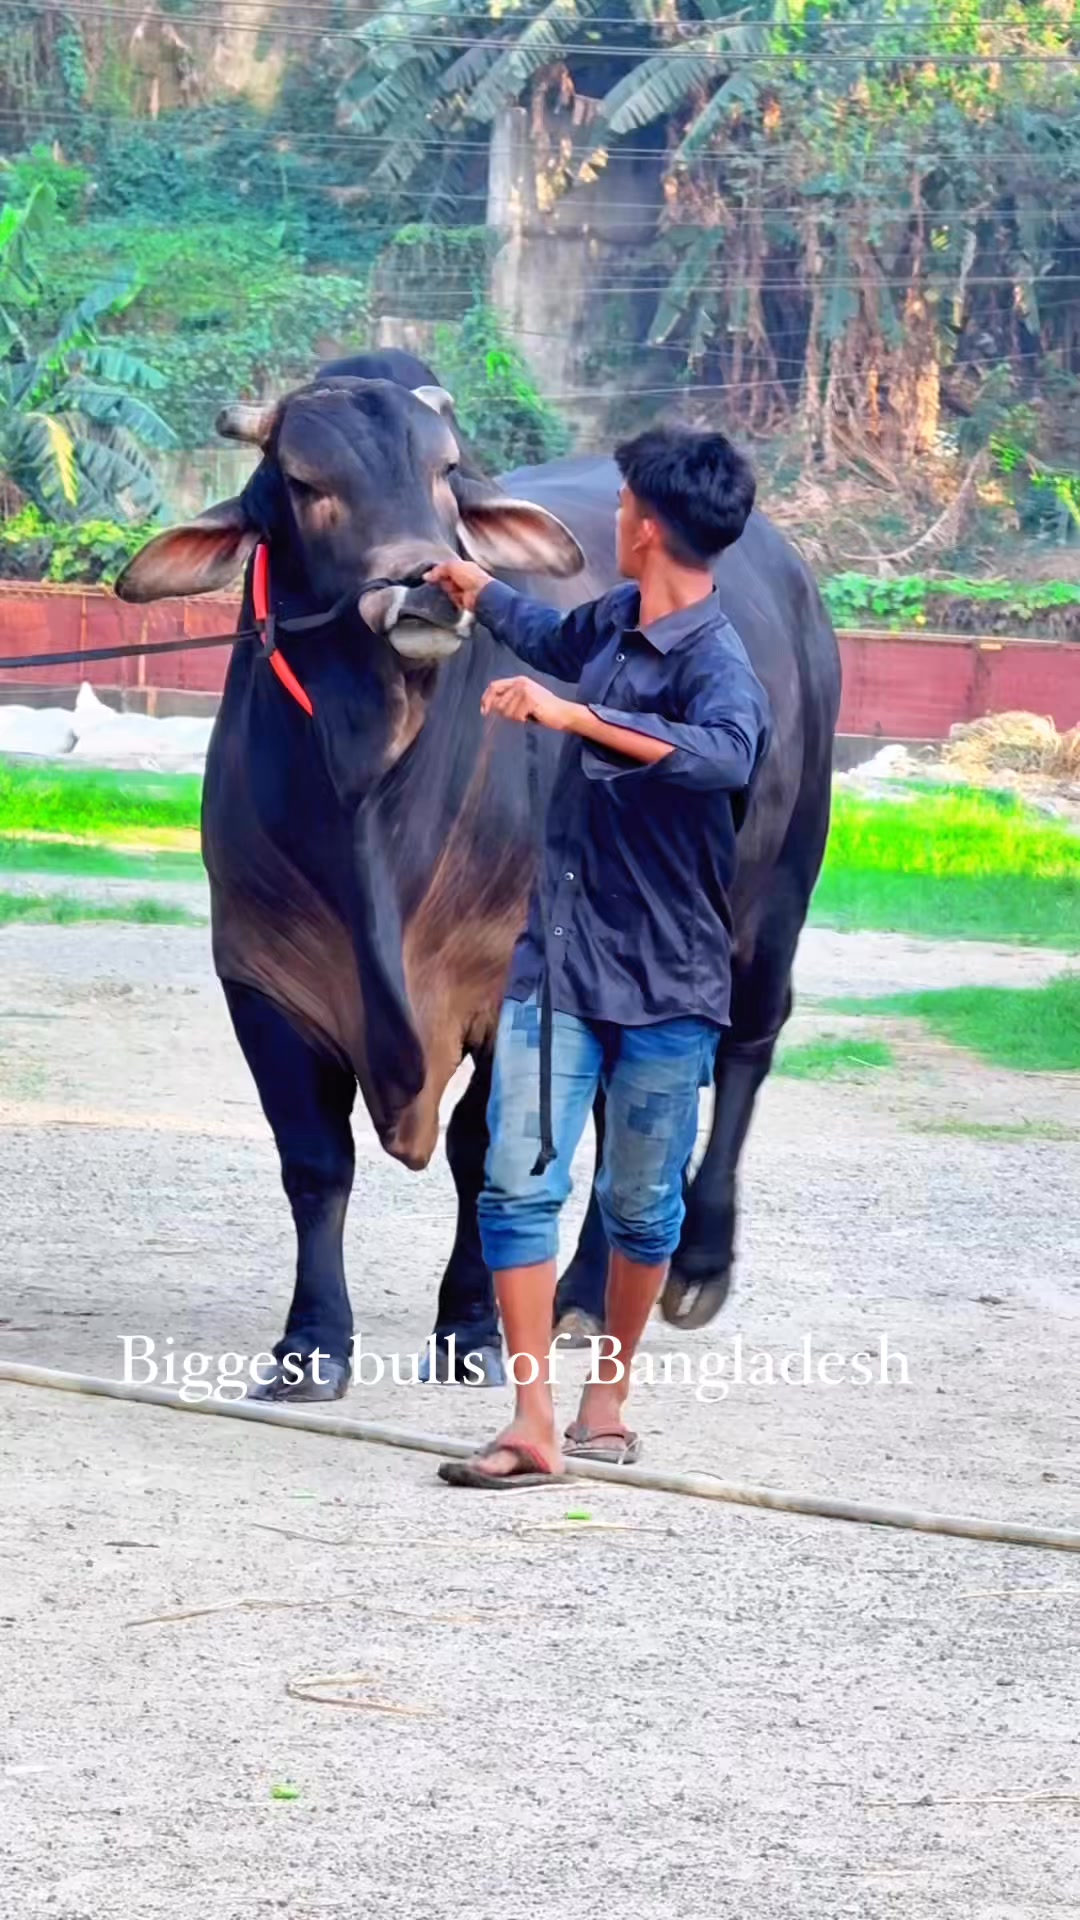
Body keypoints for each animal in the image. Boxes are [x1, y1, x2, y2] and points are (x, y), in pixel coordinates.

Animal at [115, 350, 841, 1400]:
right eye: (302, 481)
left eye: (444, 472)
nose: (429, 587)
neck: (370, 787)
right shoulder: (261, 978)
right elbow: (315, 1160)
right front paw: (311, 1343)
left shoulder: (509, 978)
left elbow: (478, 1151)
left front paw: (470, 1325)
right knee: (631, 1096)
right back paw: (585, 1291)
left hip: (772, 894)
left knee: (744, 1046)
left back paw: (695, 1264)